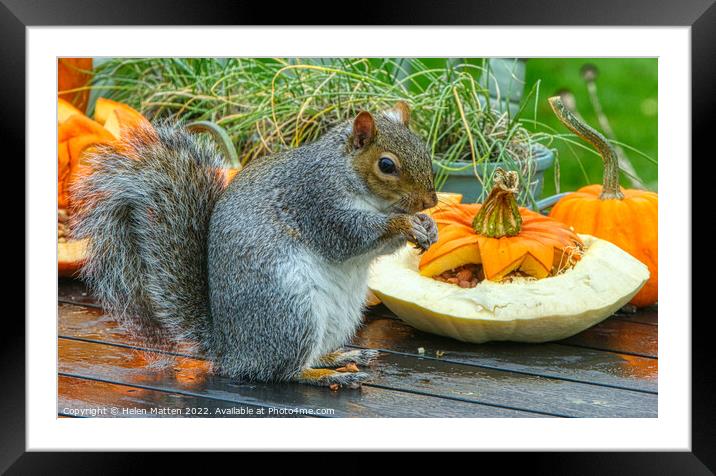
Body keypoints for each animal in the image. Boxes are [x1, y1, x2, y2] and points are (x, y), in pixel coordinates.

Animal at [74, 101, 442, 386]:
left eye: (424, 149)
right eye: (386, 165)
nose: (430, 201)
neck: (343, 170)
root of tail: (231, 352)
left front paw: (428, 227)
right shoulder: (316, 201)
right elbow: (350, 236)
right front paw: (405, 223)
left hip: (339, 315)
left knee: (309, 356)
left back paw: (338, 357)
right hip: (290, 312)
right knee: (283, 372)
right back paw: (326, 376)